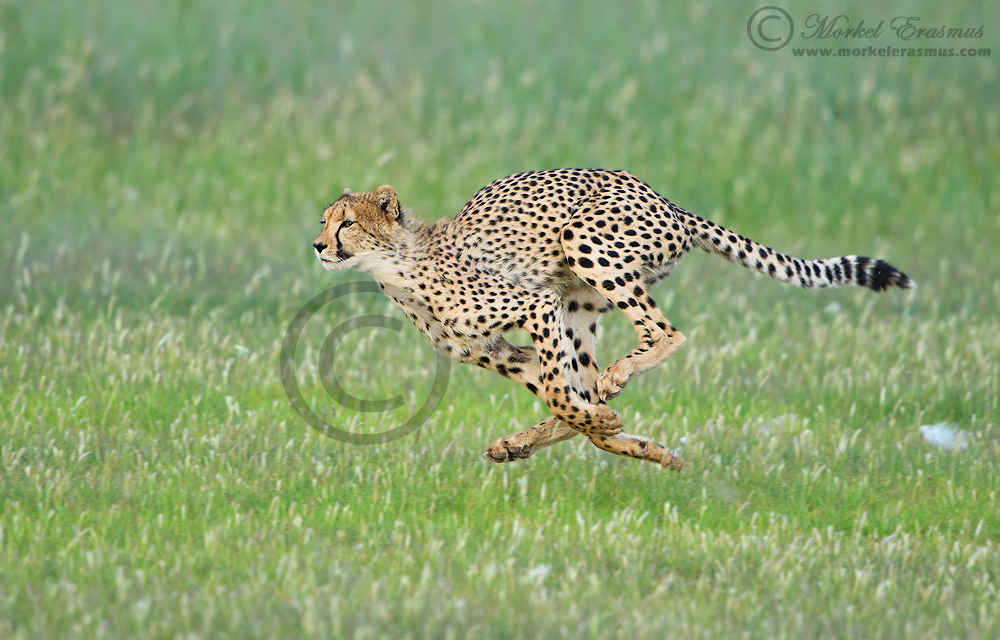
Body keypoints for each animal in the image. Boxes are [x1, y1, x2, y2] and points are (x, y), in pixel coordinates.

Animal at [312, 169, 913, 470]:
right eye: (325, 221)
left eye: (346, 224)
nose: (318, 245)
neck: (400, 268)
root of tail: (668, 202)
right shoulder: (506, 351)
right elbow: (567, 401)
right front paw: (616, 433)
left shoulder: (536, 306)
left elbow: (562, 397)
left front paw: (604, 423)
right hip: (579, 306)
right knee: (590, 383)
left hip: (585, 245)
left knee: (666, 334)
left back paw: (618, 382)